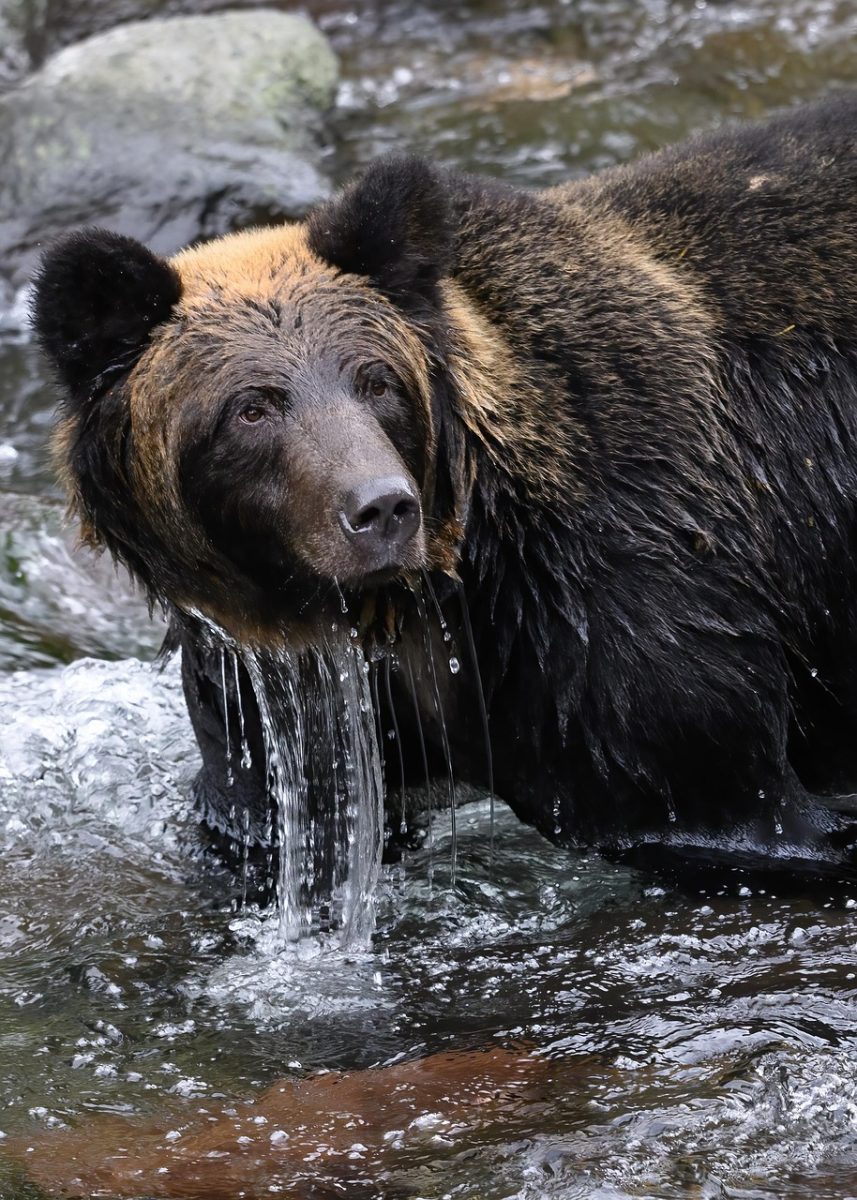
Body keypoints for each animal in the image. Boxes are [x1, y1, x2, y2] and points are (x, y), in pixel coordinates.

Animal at [32, 93, 857, 884]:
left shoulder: (629, 608)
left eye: (375, 381)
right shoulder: (277, 702)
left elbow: (719, 791)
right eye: (251, 407)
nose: (381, 507)